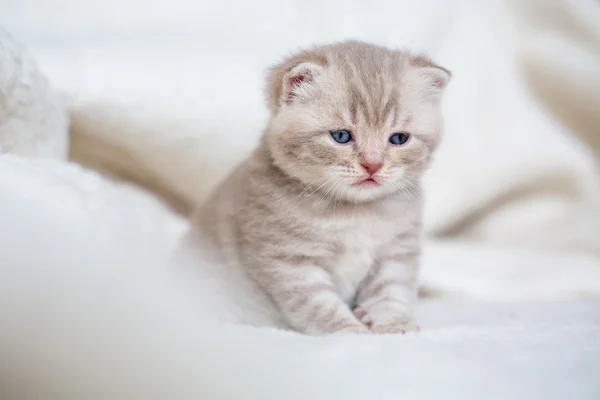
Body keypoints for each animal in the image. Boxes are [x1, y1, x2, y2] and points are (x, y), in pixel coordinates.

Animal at [183, 40, 450, 334]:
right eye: (341, 136)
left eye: (399, 139)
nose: (372, 164)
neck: (355, 214)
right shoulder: (289, 261)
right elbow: (320, 306)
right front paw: (350, 331)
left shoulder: (396, 252)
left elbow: (391, 291)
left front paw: (394, 323)